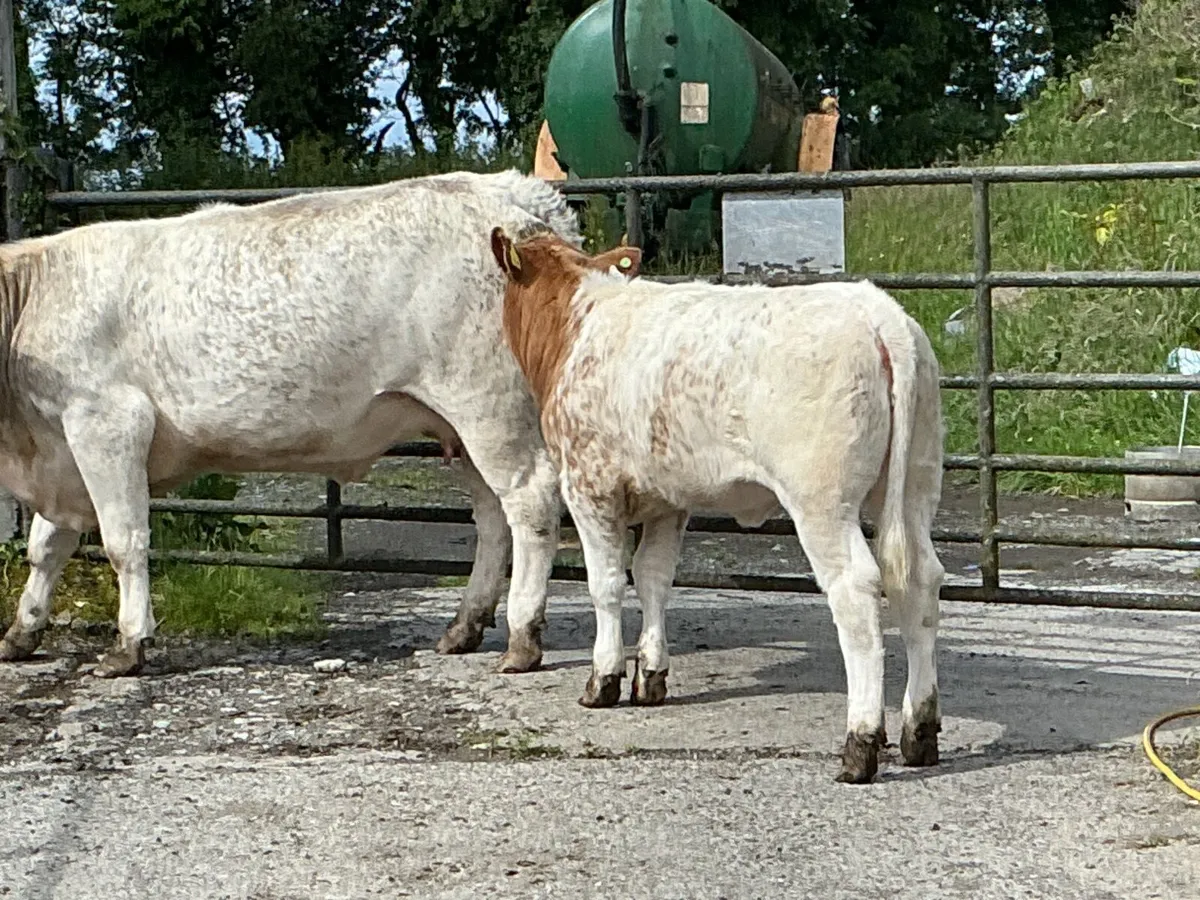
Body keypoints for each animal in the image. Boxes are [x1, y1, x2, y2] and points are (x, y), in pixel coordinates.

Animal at [0, 170, 580, 679]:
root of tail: (508, 191)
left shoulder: (107, 423)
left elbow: (124, 541)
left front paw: (128, 644)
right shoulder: (61, 453)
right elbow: (45, 547)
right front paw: (21, 632)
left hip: (489, 406)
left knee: (530, 504)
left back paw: (523, 638)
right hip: (460, 424)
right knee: (492, 517)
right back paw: (465, 626)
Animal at [488, 225, 946, 784]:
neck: (580, 323)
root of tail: (877, 312)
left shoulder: (588, 485)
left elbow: (607, 585)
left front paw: (603, 679)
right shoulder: (669, 499)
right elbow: (654, 577)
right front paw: (650, 677)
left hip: (822, 501)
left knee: (856, 594)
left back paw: (860, 743)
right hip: (916, 481)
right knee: (919, 582)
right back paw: (919, 730)